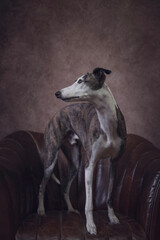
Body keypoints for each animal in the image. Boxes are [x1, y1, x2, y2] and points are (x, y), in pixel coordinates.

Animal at [37, 67, 126, 234]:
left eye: (80, 81)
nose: (57, 93)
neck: (107, 124)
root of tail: (56, 114)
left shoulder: (114, 162)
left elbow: (110, 195)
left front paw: (112, 217)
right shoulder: (89, 165)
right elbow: (89, 203)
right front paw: (90, 225)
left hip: (75, 162)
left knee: (65, 187)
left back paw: (71, 209)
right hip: (51, 159)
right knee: (42, 185)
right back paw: (40, 210)